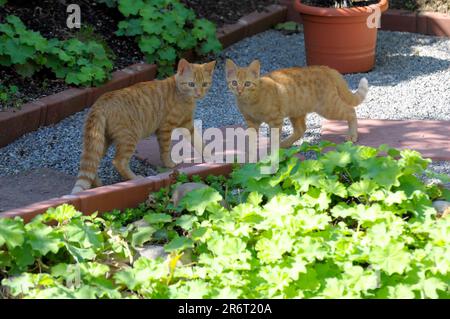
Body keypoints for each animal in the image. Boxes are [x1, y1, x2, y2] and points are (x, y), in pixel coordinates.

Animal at [71, 59, 215, 195]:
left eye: (204, 84)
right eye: (191, 84)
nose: (199, 93)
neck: (181, 94)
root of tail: (101, 101)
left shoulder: (187, 125)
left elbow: (199, 141)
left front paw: (209, 156)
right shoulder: (165, 128)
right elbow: (165, 149)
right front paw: (169, 164)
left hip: (100, 141)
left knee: (92, 163)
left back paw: (98, 186)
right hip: (129, 137)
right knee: (118, 161)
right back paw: (134, 179)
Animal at [225, 60, 370, 148]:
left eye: (247, 84)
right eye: (234, 83)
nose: (239, 90)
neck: (249, 102)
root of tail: (325, 68)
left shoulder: (275, 120)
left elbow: (274, 137)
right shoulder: (251, 121)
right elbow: (251, 138)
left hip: (329, 107)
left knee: (351, 111)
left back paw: (352, 135)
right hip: (296, 111)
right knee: (301, 129)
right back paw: (285, 144)